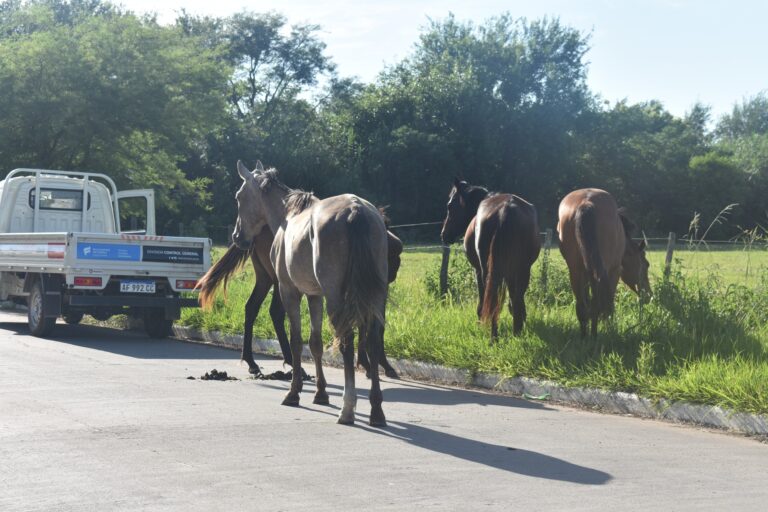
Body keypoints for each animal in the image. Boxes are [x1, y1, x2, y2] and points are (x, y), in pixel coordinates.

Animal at [197, 228, 403, 379]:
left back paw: (251, 362)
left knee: (252, 307)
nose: (392, 273)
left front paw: (369, 363)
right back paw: (289, 362)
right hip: (279, 280)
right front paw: (377, 365)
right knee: (275, 312)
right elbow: (373, 325)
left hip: (265, 277)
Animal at [232, 160, 389, 426]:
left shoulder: (290, 292)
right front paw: (321, 393)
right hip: (376, 297)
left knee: (347, 341)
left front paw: (294, 392)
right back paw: (376, 410)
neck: (288, 217)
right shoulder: (315, 296)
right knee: (374, 343)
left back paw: (348, 408)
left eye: (239, 197)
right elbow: (315, 343)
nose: (237, 237)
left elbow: (296, 341)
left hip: (336, 299)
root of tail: (356, 209)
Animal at [440, 178, 541, 340]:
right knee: (516, 299)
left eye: (450, 206)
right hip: (523, 270)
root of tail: (505, 209)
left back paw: (493, 335)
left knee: (492, 298)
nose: (444, 234)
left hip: (488, 271)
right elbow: (513, 300)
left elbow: (483, 301)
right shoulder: (511, 273)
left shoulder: (477, 270)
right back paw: (516, 332)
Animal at [557, 188, 651, 338]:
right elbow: (609, 305)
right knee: (596, 305)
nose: (648, 296)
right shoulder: (615, 272)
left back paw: (584, 338)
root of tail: (586, 203)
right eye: (646, 265)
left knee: (582, 307)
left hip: (575, 271)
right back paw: (595, 337)